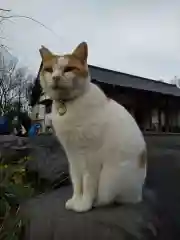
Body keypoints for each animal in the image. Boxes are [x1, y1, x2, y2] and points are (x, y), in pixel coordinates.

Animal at [39, 42, 146, 213]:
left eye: (69, 69)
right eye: (49, 70)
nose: (55, 77)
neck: (68, 106)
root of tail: (138, 195)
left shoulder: (90, 157)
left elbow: (87, 183)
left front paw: (83, 205)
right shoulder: (72, 155)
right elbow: (76, 181)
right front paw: (75, 200)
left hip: (109, 178)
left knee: (110, 198)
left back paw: (97, 202)